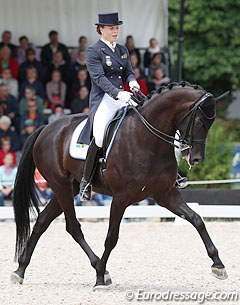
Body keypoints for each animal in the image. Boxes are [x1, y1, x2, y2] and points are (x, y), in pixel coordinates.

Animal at [11, 82, 229, 288]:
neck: (147, 139)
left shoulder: (166, 194)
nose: (196, 159)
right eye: (199, 122)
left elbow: (196, 219)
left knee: (43, 221)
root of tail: (46, 128)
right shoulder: (121, 198)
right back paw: (98, 268)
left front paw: (218, 265)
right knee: (72, 226)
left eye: (211, 124)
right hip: (60, 185)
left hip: (68, 188)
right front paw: (99, 278)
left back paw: (20, 270)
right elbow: (111, 237)